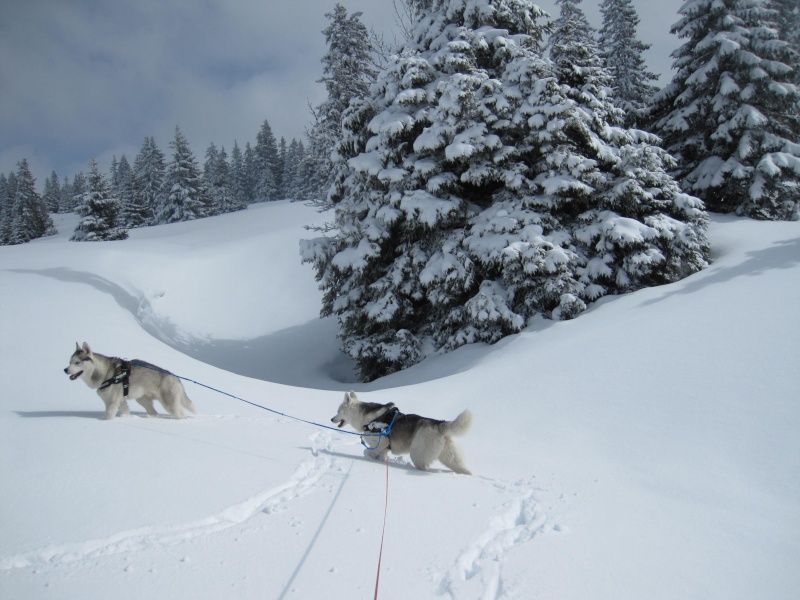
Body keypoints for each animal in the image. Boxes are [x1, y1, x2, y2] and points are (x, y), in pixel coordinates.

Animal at [65, 342, 196, 422]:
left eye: (77, 362)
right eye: (70, 362)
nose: (65, 370)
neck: (105, 373)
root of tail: (174, 376)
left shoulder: (112, 402)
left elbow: (109, 416)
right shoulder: (121, 401)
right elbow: (126, 411)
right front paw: (128, 418)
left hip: (170, 404)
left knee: (181, 415)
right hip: (142, 399)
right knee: (153, 412)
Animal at [332, 392, 472, 476]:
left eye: (338, 411)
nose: (331, 419)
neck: (365, 418)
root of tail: (439, 424)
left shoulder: (381, 443)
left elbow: (367, 452)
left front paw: (370, 457)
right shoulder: (382, 447)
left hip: (418, 455)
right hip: (449, 457)